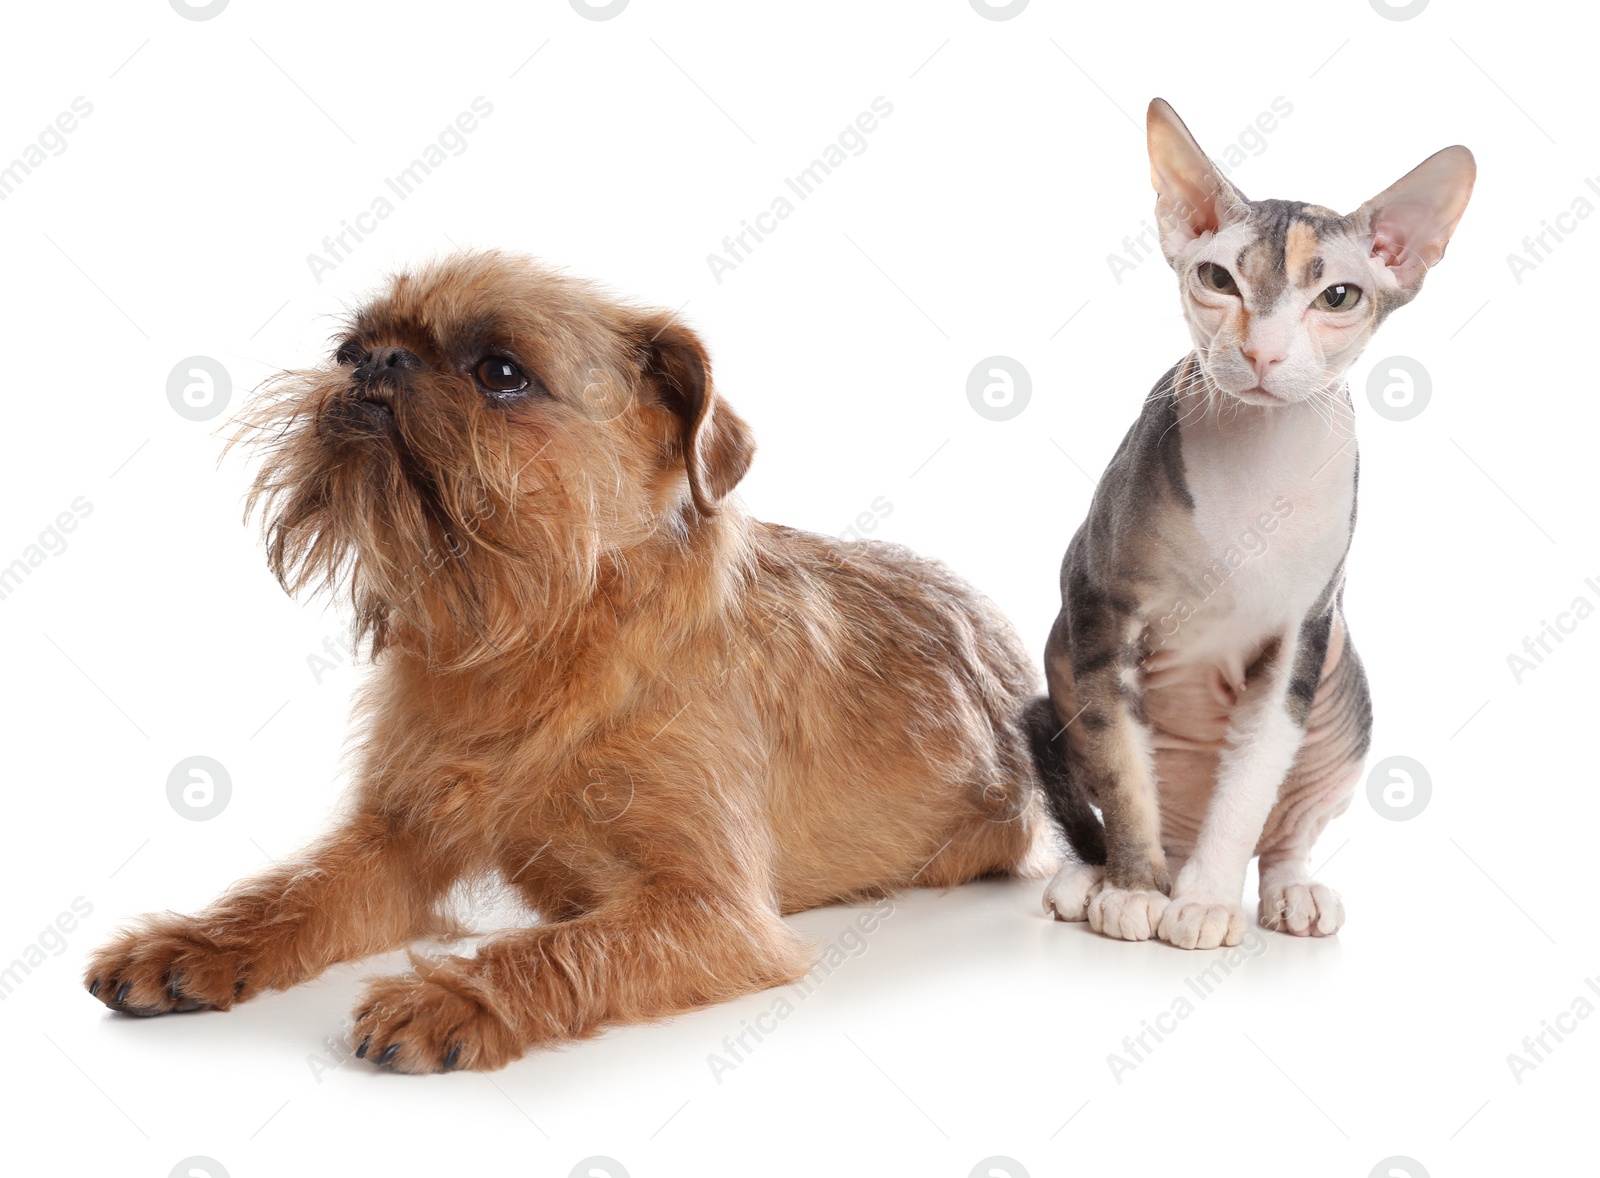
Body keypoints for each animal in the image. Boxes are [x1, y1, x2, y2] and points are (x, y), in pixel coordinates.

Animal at [81, 252, 1056, 1069]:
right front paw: (199, 943)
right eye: (348, 348)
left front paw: (459, 997)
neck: (536, 632)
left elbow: (561, 947)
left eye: (501, 373)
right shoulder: (396, 840)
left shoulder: (709, 912)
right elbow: (297, 889)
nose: (376, 365)